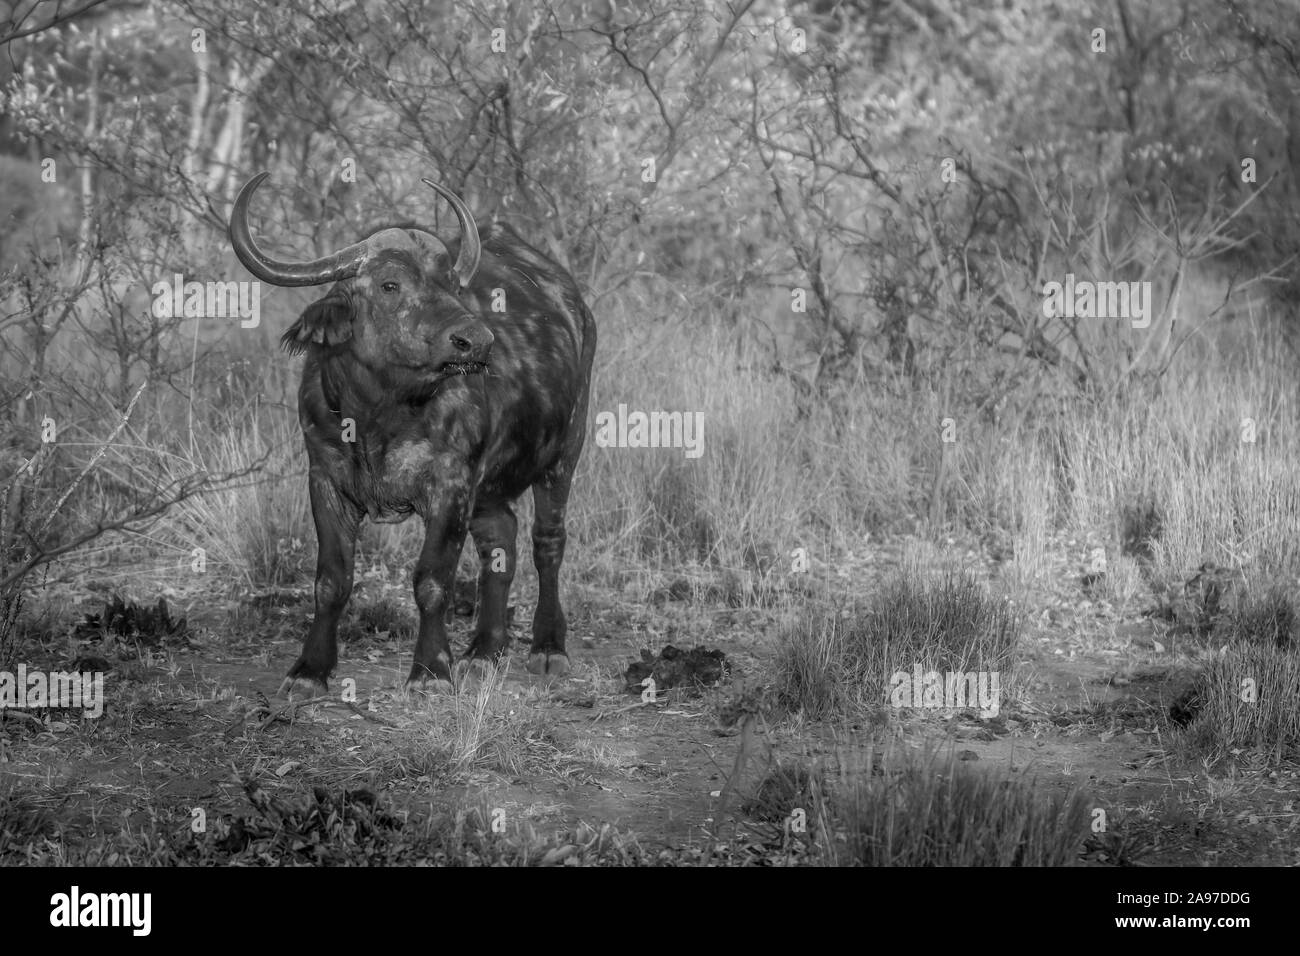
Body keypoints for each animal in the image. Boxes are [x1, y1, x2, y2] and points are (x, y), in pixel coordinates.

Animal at [228, 172, 595, 697]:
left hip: (564, 451)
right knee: (501, 541)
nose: (475, 341)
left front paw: (431, 669)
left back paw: (547, 647)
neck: (378, 416)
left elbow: (432, 581)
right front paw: (310, 670)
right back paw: (484, 650)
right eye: (389, 284)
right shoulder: (325, 481)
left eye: (451, 284)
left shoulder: (451, 486)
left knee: (548, 542)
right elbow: (331, 581)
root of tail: (574, 305)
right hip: (490, 489)